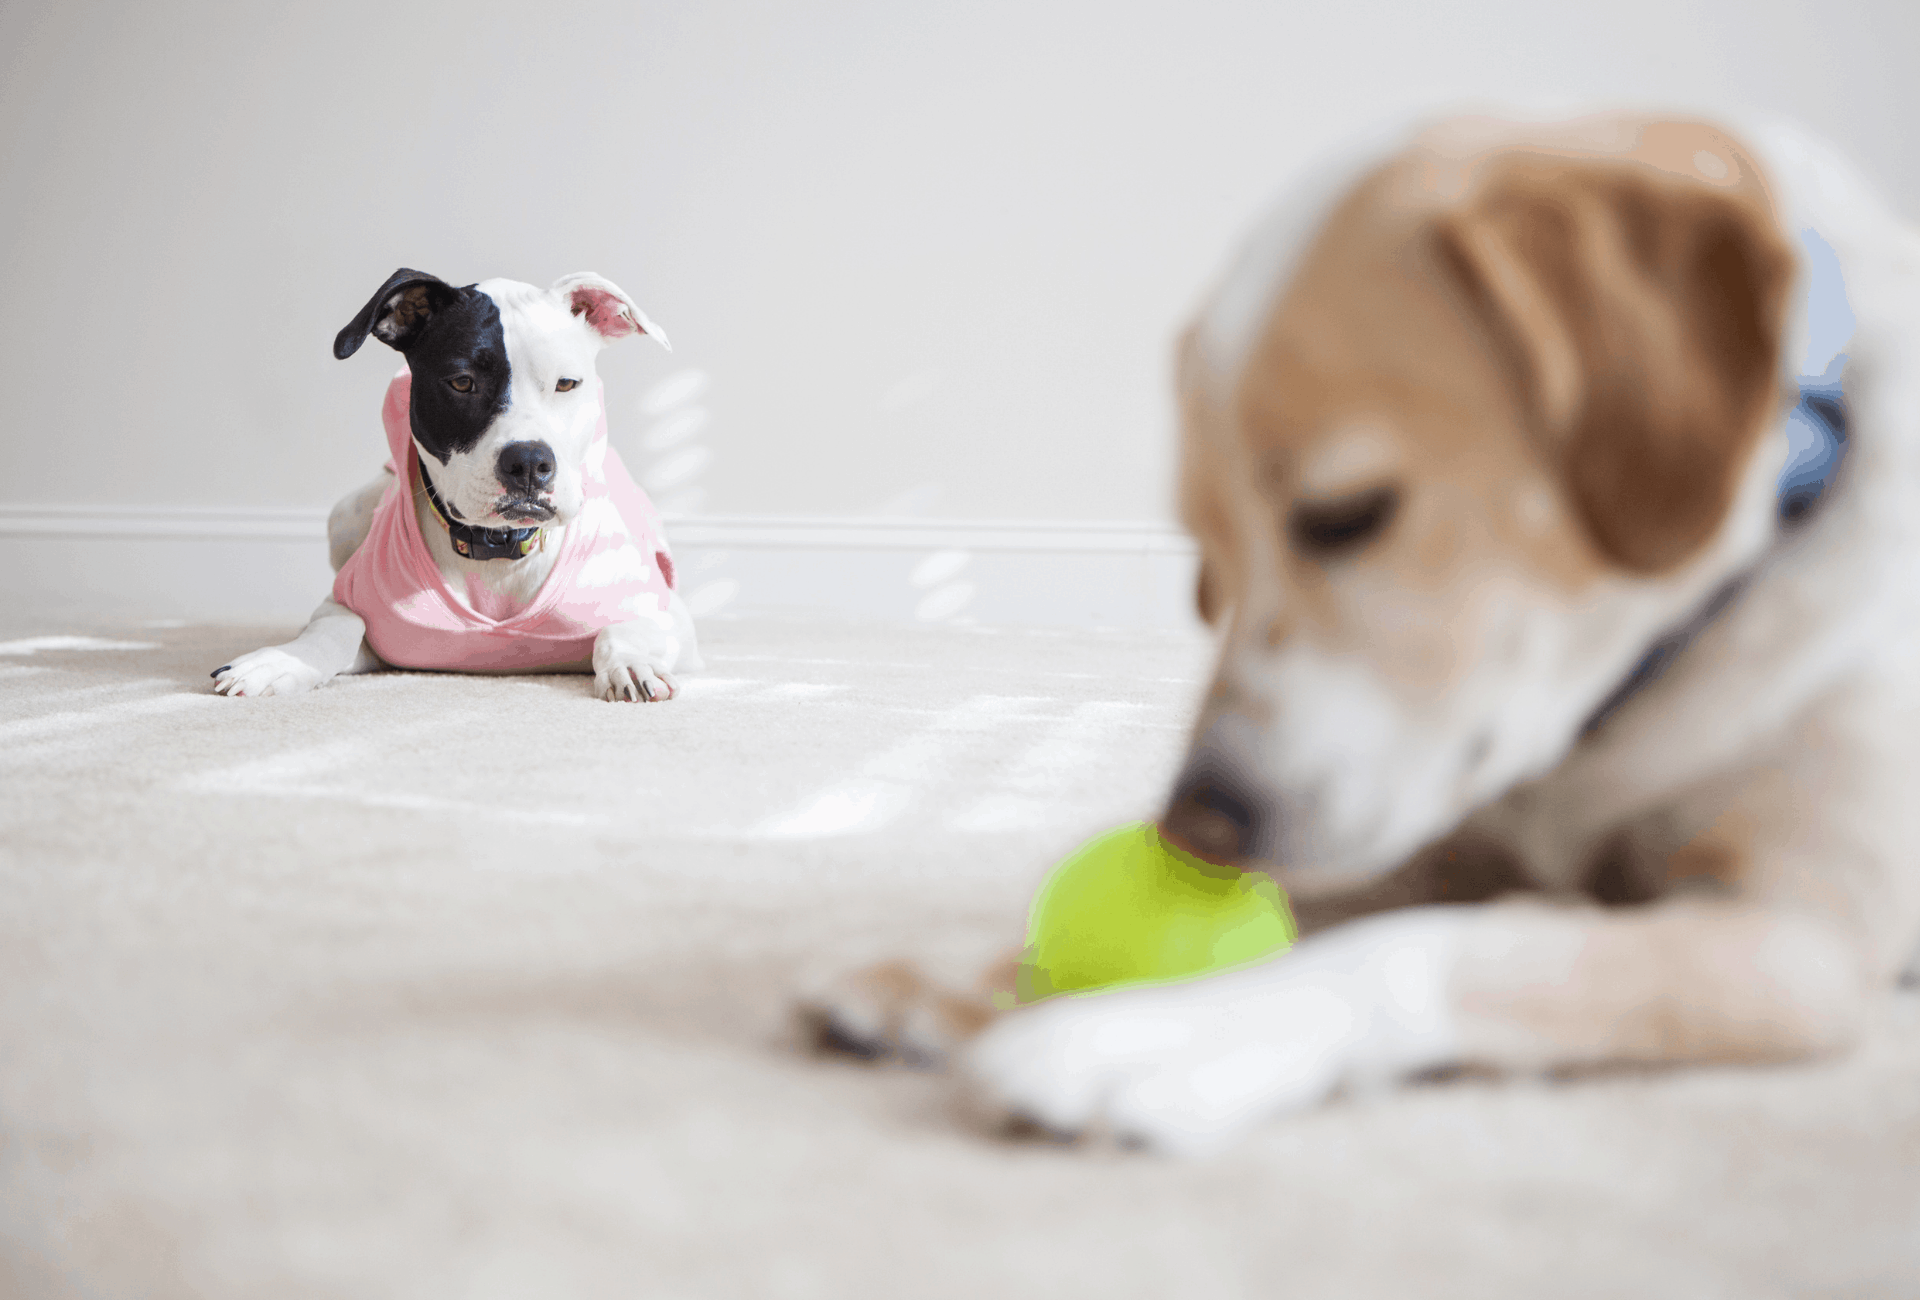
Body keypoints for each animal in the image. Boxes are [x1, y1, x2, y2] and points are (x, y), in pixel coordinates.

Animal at [214, 268, 695, 698]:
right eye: (462, 383)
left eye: (566, 384)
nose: (529, 462)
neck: (499, 550)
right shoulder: (357, 613)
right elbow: (338, 626)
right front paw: (279, 661)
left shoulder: (672, 618)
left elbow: (620, 630)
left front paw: (631, 664)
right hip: (346, 515)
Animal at [802, 108, 1920, 1144]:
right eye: (1209, 556)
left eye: (1347, 514)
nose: (1195, 830)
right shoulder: (1430, 842)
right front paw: (977, 971)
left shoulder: (1796, 935)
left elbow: (1435, 944)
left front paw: (1156, 1032)